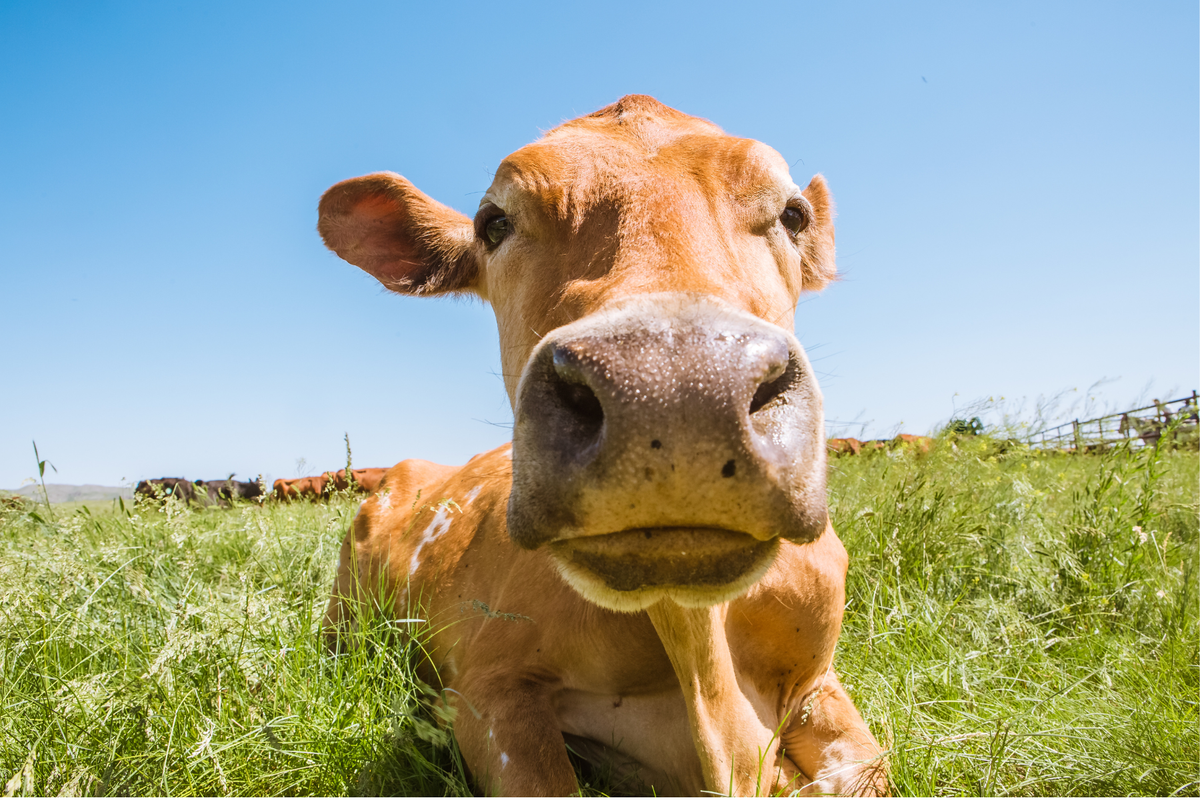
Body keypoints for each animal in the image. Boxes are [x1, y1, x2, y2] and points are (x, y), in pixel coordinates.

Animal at [318, 96, 886, 796]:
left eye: (792, 213)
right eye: (493, 223)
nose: (675, 390)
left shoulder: (819, 683)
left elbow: (868, 769)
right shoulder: (487, 688)